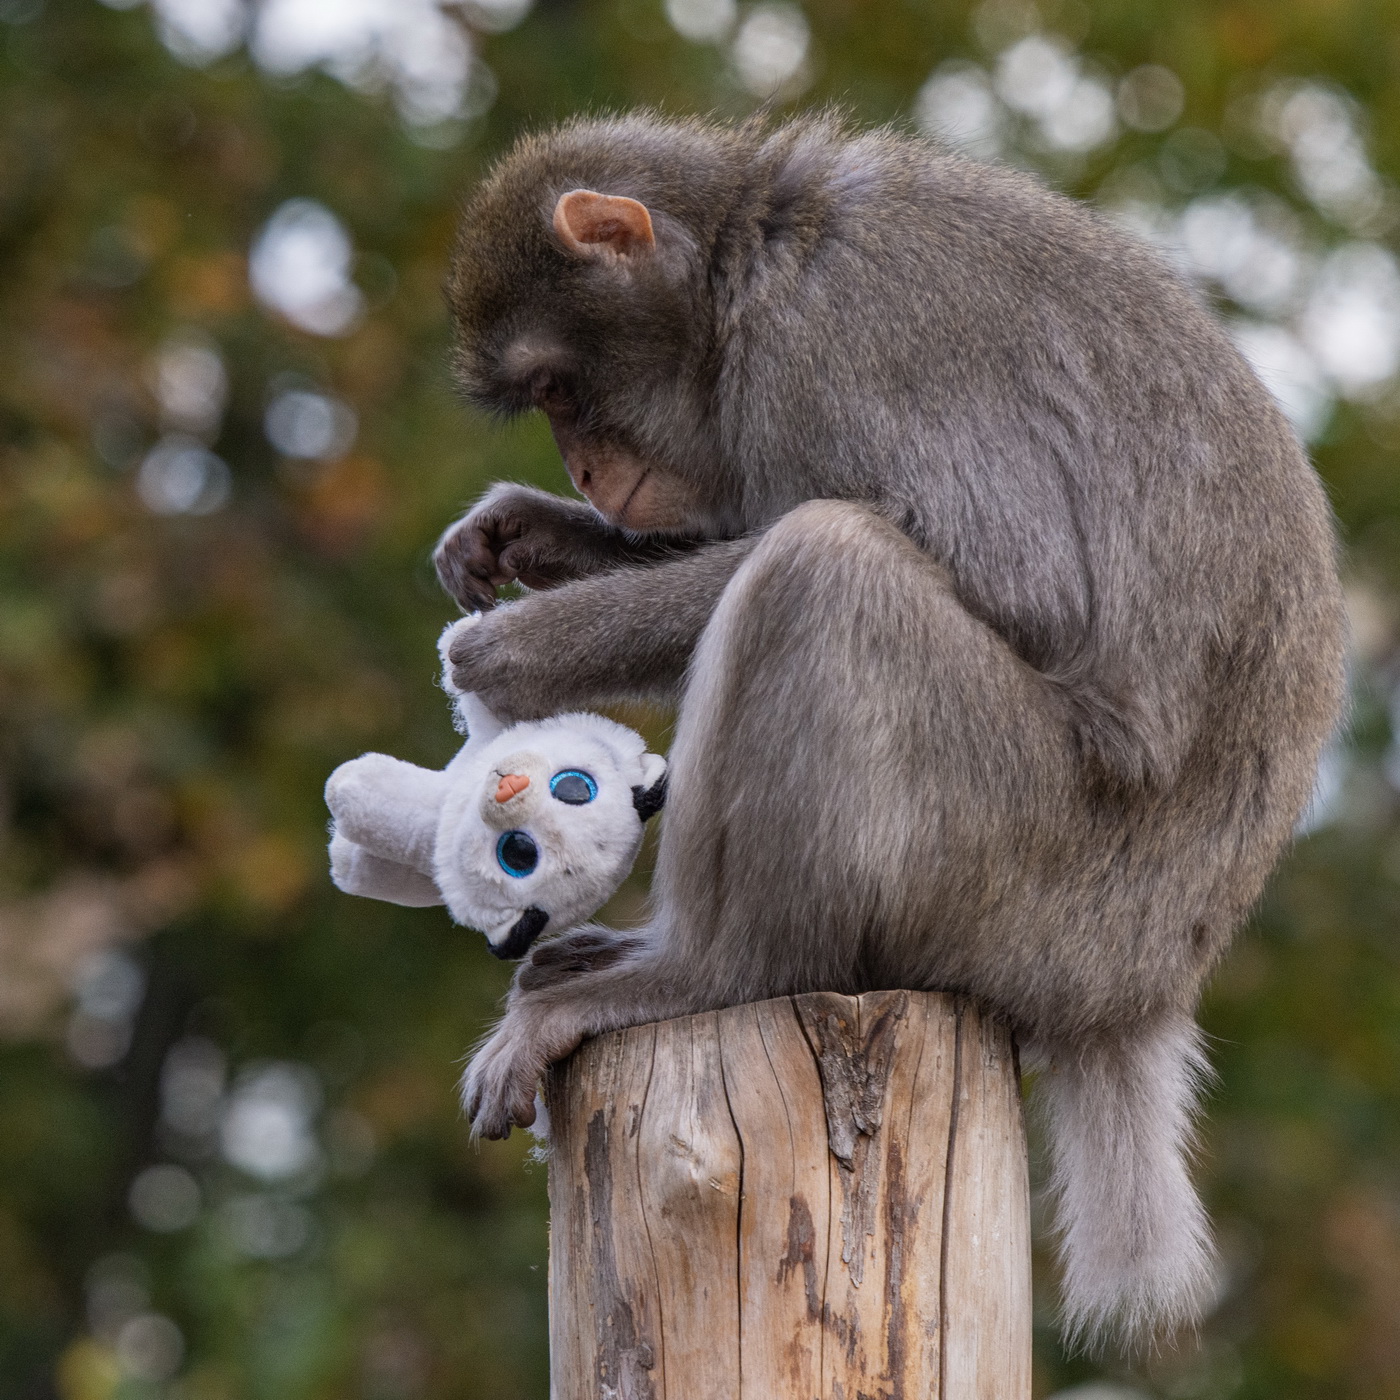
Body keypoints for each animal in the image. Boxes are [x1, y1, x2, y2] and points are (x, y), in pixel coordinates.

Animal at [434, 117, 1344, 1344]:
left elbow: (1012, 579)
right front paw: (522, 531)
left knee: (826, 565)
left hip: (1022, 867)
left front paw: (526, 648)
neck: (745, 261)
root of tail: (1142, 987)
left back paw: (701, 969)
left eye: (558, 386)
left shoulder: (828, 345)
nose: (580, 465)